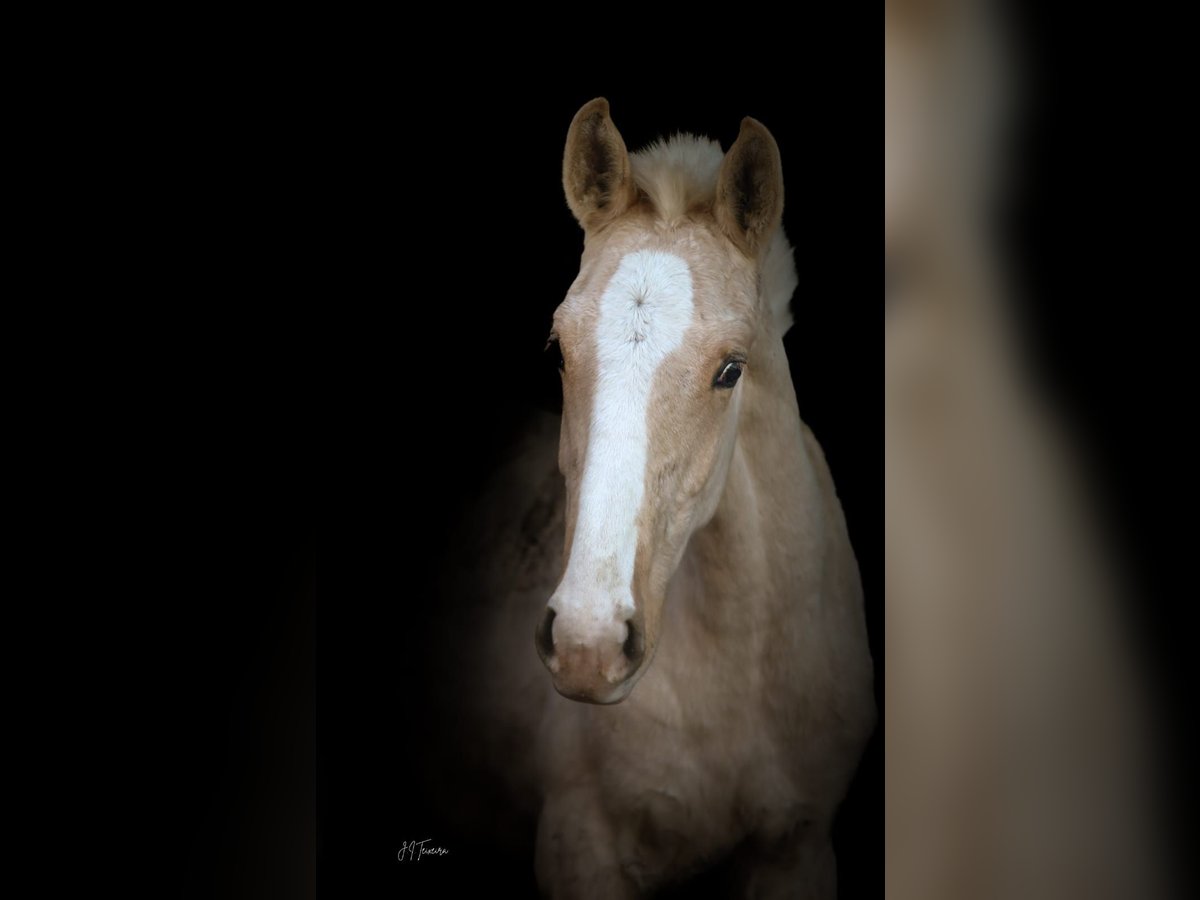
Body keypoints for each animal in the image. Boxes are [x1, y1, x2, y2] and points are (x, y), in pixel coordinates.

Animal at [453, 100, 878, 900]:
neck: (739, 681)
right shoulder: (581, 853)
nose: (587, 645)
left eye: (730, 369)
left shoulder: (798, 848)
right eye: (558, 350)